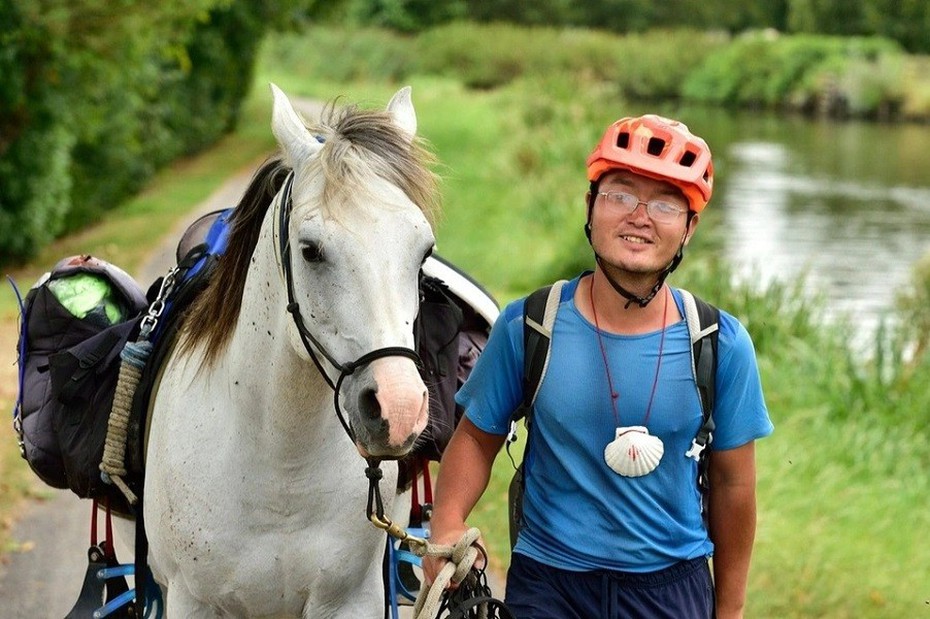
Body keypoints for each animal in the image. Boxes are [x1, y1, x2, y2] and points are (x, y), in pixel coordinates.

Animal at [142, 85, 438, 616]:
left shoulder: (349, 601)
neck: (282, 471)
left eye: (423, 253)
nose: (398, 409)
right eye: (310, 250)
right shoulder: (191, 600)